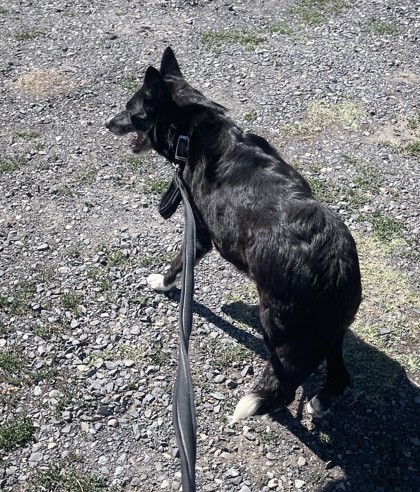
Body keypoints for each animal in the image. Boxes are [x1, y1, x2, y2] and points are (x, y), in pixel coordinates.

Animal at [106, 48, 360, 420]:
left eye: (131, 109)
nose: (108, 124)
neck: (190, 132)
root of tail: (334, 262)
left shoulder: (198, 235)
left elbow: (177, 265)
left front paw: (161, 284)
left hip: (279, 323)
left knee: (284, 385)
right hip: (332, 330)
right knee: (340, 375)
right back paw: (321, 402)